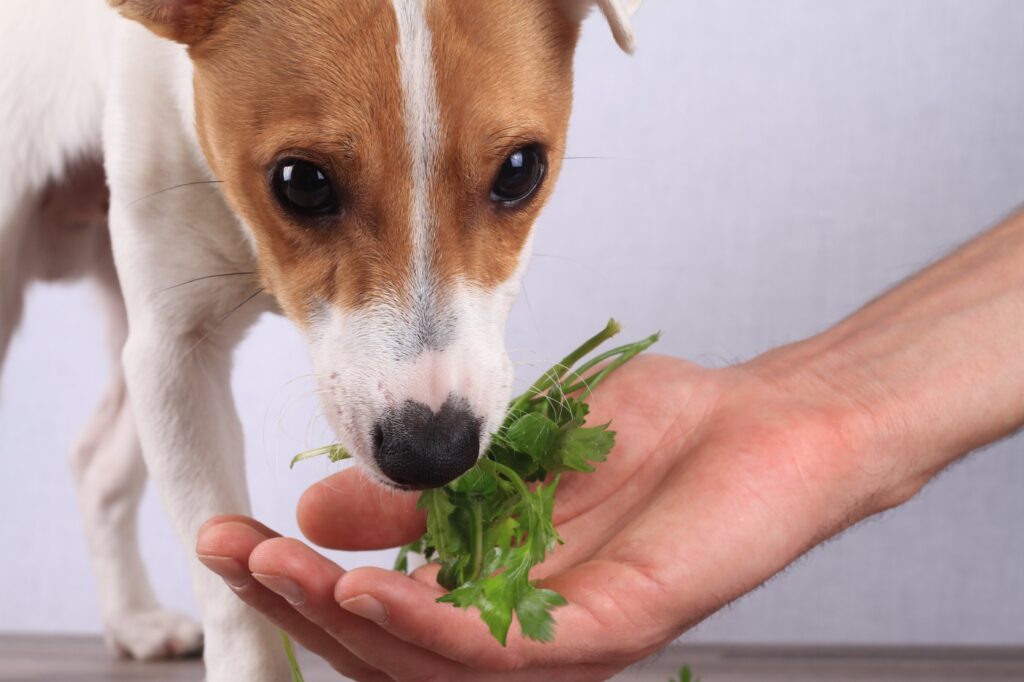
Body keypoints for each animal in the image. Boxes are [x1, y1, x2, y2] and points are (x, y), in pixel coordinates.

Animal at [0, 1, 638, 675]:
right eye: (301, 181)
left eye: (520, 171)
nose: (433, 453)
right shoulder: (176, 350)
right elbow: (228, 581)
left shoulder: (163, 347)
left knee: (98, 463)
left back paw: (133, 619)